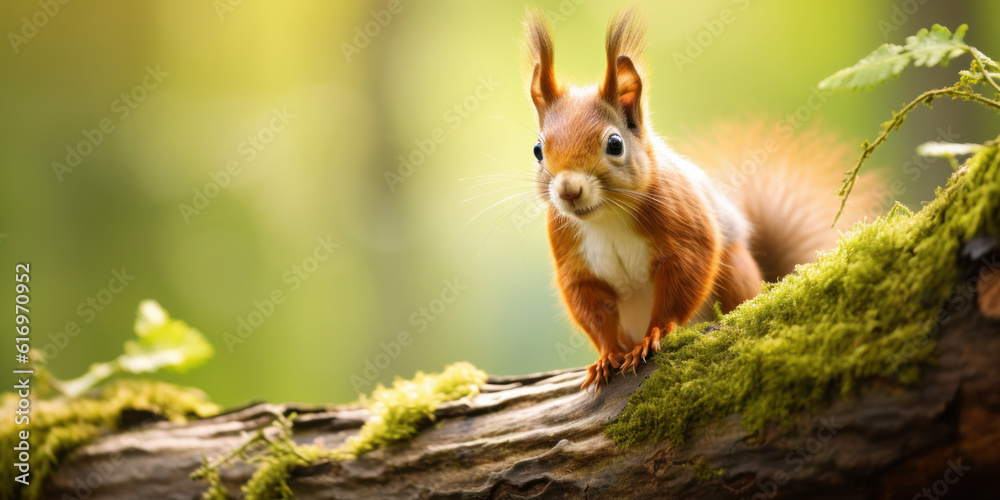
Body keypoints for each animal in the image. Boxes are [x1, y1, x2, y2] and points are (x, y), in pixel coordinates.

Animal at [522, 8, 880, 391]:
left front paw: (654, 335)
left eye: (615, 144)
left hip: (735, 270)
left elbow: (685, 277)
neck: (607, 217)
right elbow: (590, 308)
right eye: (538, 150)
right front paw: (606, 356)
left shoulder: (683, 225)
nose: (568, 190)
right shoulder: (572, 256)